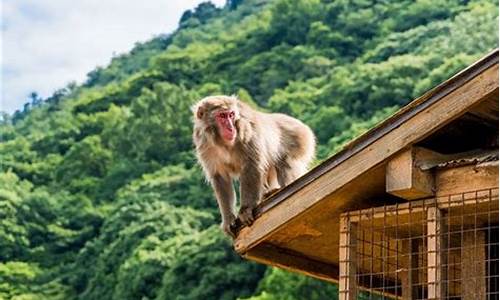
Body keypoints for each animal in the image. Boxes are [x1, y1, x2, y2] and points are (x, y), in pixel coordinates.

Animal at [192, 95, 316, 238]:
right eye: (222, 116)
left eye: (231, 115)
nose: (231, 128)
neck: (223, 143)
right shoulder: (204, 145)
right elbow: (220, 178)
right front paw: (228, 219)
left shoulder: (246, 132)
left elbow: (251, 166)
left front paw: (246, 209)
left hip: (300, 139)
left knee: (285, 163)